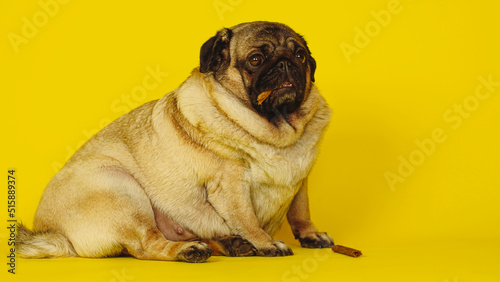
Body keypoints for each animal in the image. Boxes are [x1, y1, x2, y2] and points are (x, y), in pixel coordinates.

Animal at [17, 21, 334, 262]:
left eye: (301, 56)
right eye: (256, 60)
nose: (285, 63)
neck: (279, 133)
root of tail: (56, 234)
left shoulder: (300, 179)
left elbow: (300, 210)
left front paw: (310, 234)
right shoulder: (231, 184)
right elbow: (247, 218)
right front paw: (265, 242)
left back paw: (231, 244)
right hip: (122, 189)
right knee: (145, 246)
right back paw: (190, 250)